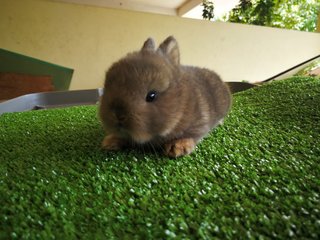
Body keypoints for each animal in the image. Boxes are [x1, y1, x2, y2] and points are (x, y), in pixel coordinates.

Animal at [99, 34, 231, 157]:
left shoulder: (199, 124)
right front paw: (110, 141)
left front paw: (176, 147)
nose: (118, 115)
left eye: (151, 96)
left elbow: (192, 135)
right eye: (107, 86)